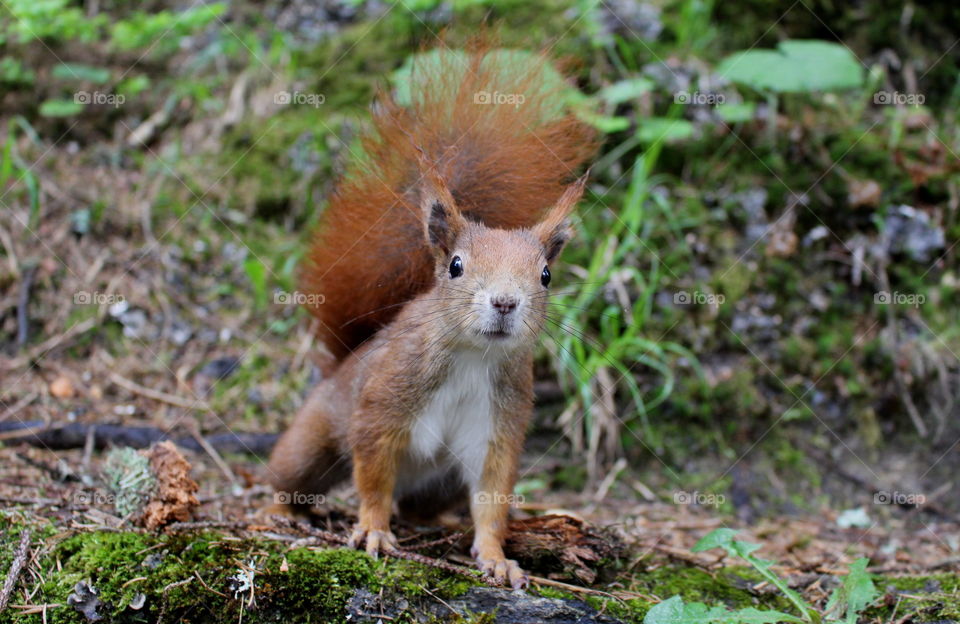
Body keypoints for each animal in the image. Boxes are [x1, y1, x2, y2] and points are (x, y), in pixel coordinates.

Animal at [266, 42, 596, 588]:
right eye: (456, 266)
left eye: (546, 274)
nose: (504, 302)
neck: (474, 358)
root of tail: (344, 363)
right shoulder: (383, 404)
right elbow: (373, 478)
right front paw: (373, 530)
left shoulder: (496, 428)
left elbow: (492, 499)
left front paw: (496, 556)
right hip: (314, 436)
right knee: (291, 474)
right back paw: (278, 511)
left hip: (440, 482)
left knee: (422, 505)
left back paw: (438, 523)